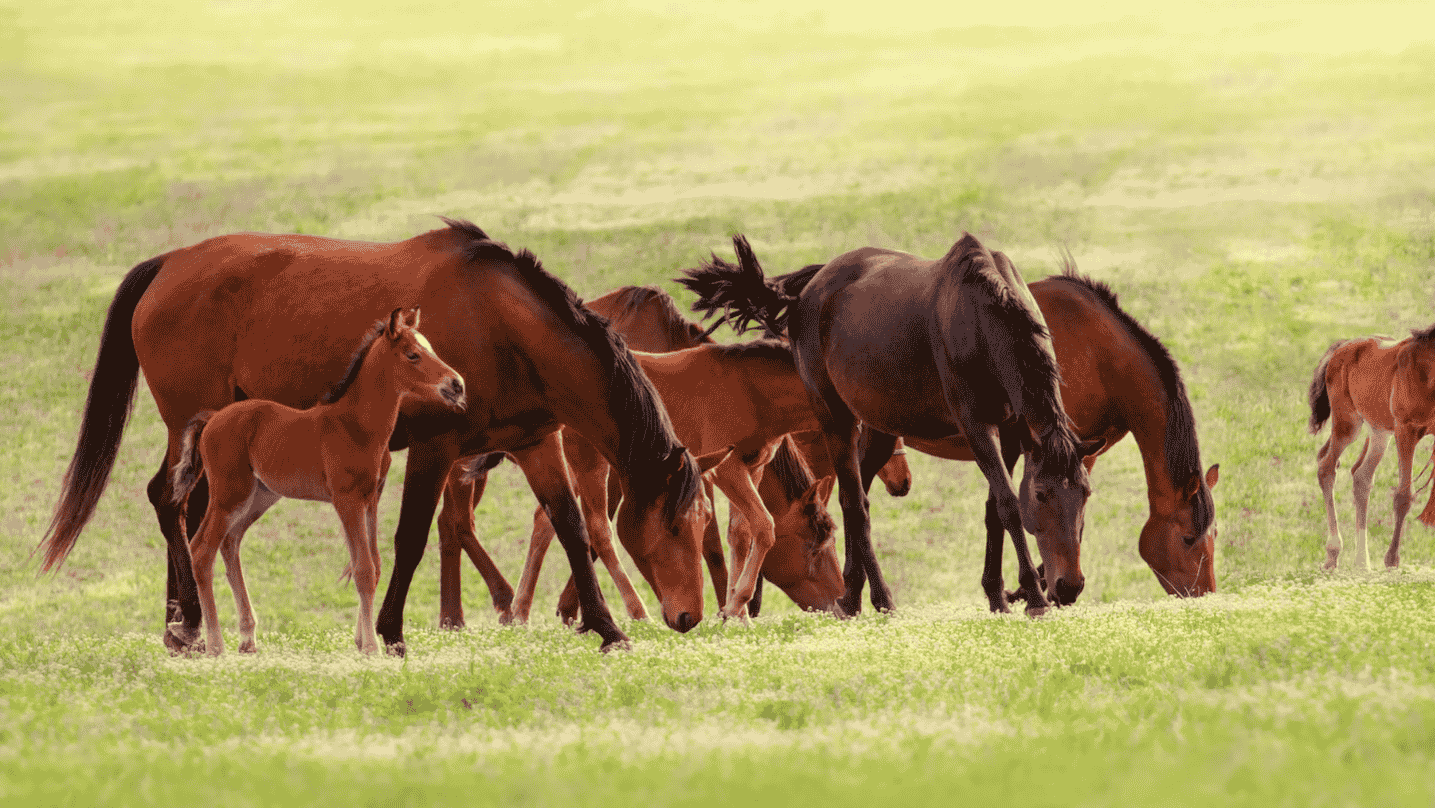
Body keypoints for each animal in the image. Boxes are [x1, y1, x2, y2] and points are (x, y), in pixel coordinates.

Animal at [167, 308, 465, 655]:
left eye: (430, 347)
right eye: (412, 354)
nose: (457, 385)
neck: (357, 427)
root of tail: (212, 418)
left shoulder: (370, 500)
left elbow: (374, 564)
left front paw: (361, 641)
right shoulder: (347, 500)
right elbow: (363, 569)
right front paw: (372, 649)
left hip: (259, 496)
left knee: (230, 543)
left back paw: (248, 638)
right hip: (230, 493)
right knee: (203, 550)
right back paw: (216, 645)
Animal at [434, 285, 911, 628]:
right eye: (815, 543)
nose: (838, 606)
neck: (750, 387)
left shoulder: (746, 468)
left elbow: (742, 533)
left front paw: (736, 610)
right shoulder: (725, 468)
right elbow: (760, 527)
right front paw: (735, 605)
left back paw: (518, 609)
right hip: (584, 465)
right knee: (583, 527)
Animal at [680, 234, 1104, 616]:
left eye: (1085, 494)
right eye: (1043, 495)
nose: (1069, 586)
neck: (982, 318)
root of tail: (809, 289)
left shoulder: (1014, 432)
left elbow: (994, 508)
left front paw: (998, 597)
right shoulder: (978, 428)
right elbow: (1009, 504)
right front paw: (1033, 597)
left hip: (879, 429)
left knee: (858, 499)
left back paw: (853, 597)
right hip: (836, 420)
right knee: (854, 503)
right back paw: (875, 599)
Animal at [1309, 325, 1435, 570]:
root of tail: (1342, 347)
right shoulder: (1406, 431)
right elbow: (1403, 495)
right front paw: (1392, 560)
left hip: (1379, 431)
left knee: (1361, 476)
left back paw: (1361, 563)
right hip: (1348, 423)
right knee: (1327, 467)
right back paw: (1333, 553)